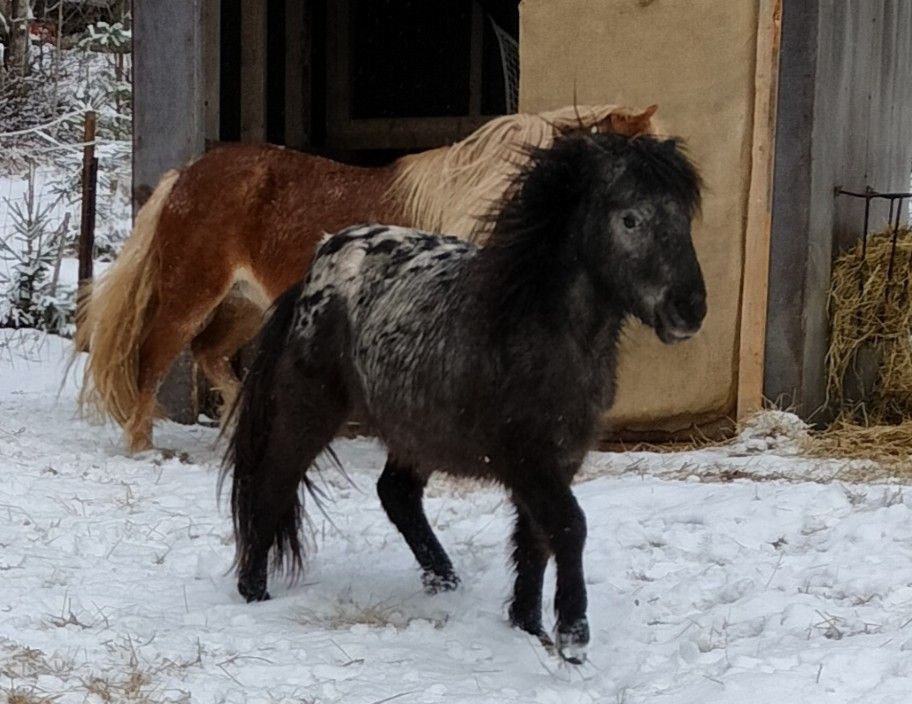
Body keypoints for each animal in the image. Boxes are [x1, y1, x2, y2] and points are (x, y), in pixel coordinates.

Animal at [76, 104, 656, 452]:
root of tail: (185, 175)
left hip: (246, 304)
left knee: (210, 355)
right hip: (190, 294)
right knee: (153, 357)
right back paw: (143, 446)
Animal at [221, 133, 704, 664]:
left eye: (684, 216)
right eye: (630, 219)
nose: (689, 309)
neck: (530, 327)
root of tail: (313, 272)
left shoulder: (557, 459)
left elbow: (535, 538)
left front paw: (528, 626)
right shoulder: (527, 458)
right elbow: (568, 526)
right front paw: (572, 634)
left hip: (415, 432)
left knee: (397, 494)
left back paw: (444, 580)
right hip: (310, 410)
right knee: (273, 485)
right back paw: (255, 592)